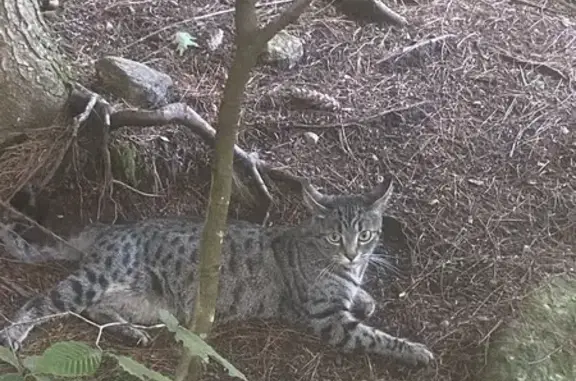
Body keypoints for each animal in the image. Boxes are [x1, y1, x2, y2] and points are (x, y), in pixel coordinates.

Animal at [0, 180, 432, 366]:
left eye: (366, 234)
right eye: (334, 236)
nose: (351, 254)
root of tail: (108, 229)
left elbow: (364, 299)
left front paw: (366, 296)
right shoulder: (329, 320)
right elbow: (375, 337)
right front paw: (415, 352)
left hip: (149, 303)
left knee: (93, 311)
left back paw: (129, 332)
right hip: (97, 278)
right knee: (41, 302)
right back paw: (13, 334)